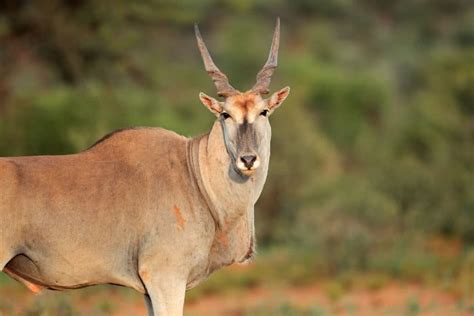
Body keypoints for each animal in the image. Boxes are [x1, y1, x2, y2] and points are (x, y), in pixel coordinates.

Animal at [0, 18, 288, 314]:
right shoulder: (165, 278)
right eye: (225, 114)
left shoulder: (151, 289)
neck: (196, 175)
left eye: (263, 111)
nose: (248, 159)